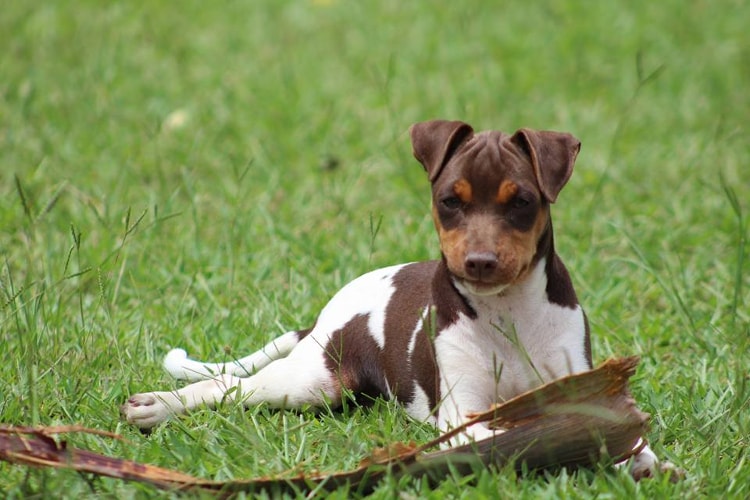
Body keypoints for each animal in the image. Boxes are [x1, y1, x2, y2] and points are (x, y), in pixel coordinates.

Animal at [125, 119, 668, 478]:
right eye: (450, 201)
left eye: (522, 202)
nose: (480, 262)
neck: (508, 312)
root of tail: (323, 319)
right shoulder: (461, 412)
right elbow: (504, 434)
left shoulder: (578, 381)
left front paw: (641, 458)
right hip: (310, 382)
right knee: (229, 388)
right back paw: (158, 406)